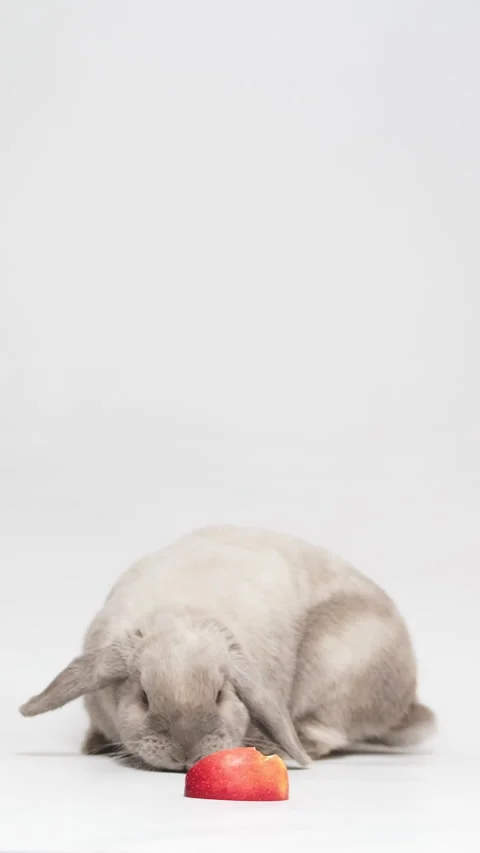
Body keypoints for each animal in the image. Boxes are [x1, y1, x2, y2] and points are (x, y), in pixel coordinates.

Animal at [20, 525, 436, 770]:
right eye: (143, 697)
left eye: (221, 694)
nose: (187, 753)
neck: (181, 612)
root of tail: (407, 701)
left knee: (327, 733)